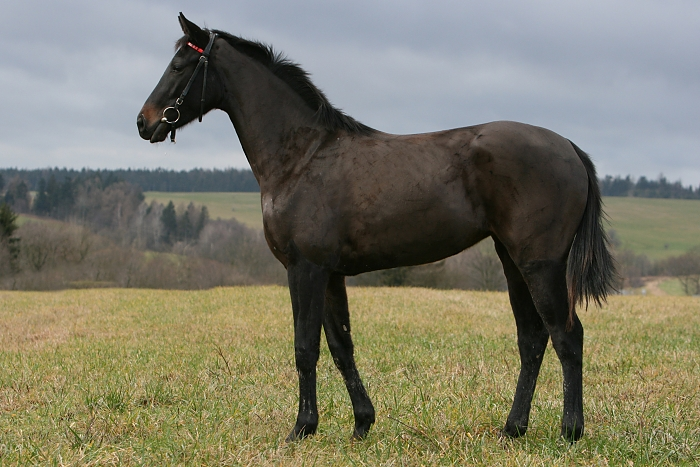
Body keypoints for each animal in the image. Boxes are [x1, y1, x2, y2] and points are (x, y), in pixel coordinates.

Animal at [138, 13, 616, 442]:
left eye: (179, 65)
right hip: (512, 262)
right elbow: (340, 347)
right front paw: (362, 423)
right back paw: (512, 429)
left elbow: (305, 348)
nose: (144, 122)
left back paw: (570, 431)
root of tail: (568, 147)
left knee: (567, 336)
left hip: (541, 265)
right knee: (532, 339)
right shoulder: (330, 275)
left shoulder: (305, 269)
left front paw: (302, 428)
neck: (302, 156)